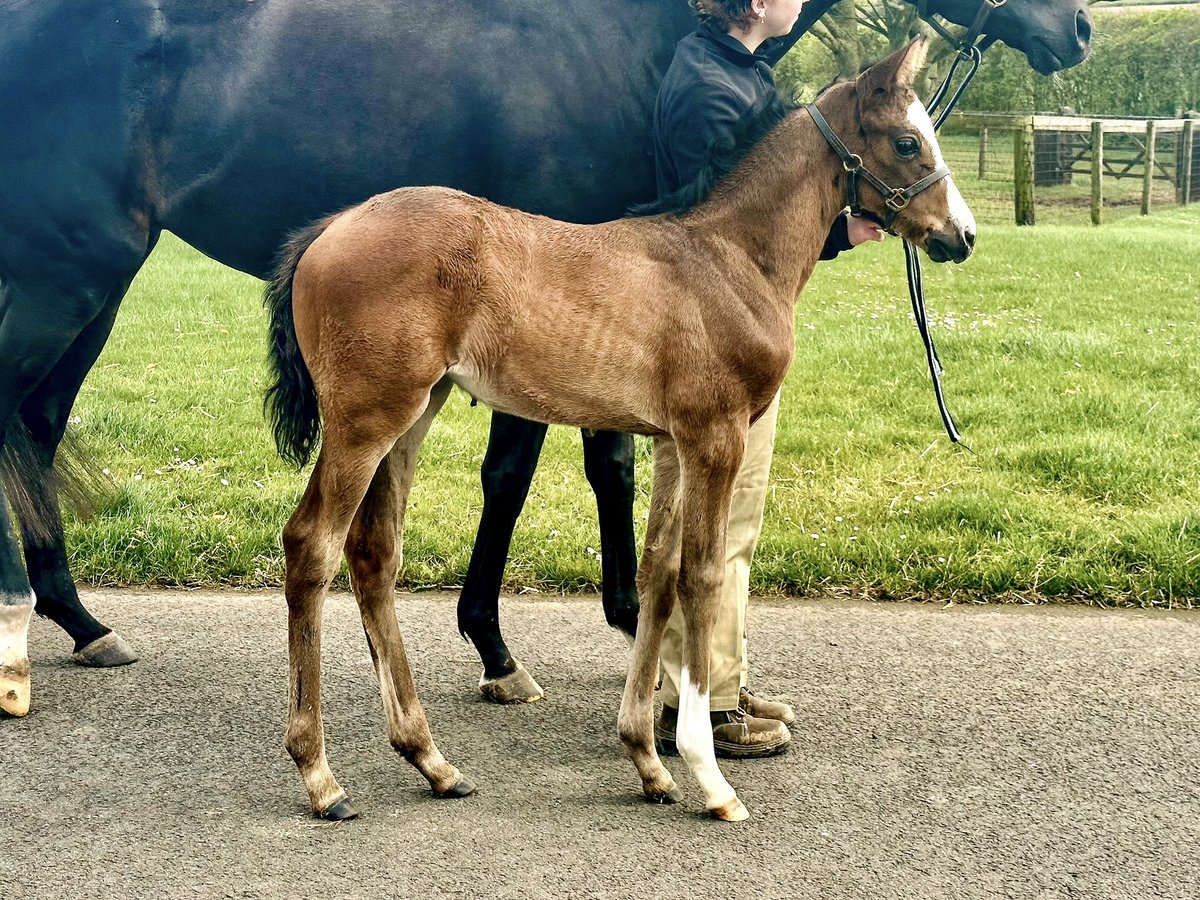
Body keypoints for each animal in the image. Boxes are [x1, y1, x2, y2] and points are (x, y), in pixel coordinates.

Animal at [262, 38, 974, 820]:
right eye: (907, 141)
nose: (963, 236)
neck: (728, 258)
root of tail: (329, 228)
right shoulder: (717, 437)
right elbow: (702, 575)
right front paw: (708, 774)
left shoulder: (672, 443)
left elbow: (657, 573)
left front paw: (647, 759)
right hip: (366, 419)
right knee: (311, 545)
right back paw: (320, 776)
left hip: (416, 414)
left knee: (373, 553)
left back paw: (431, 760)